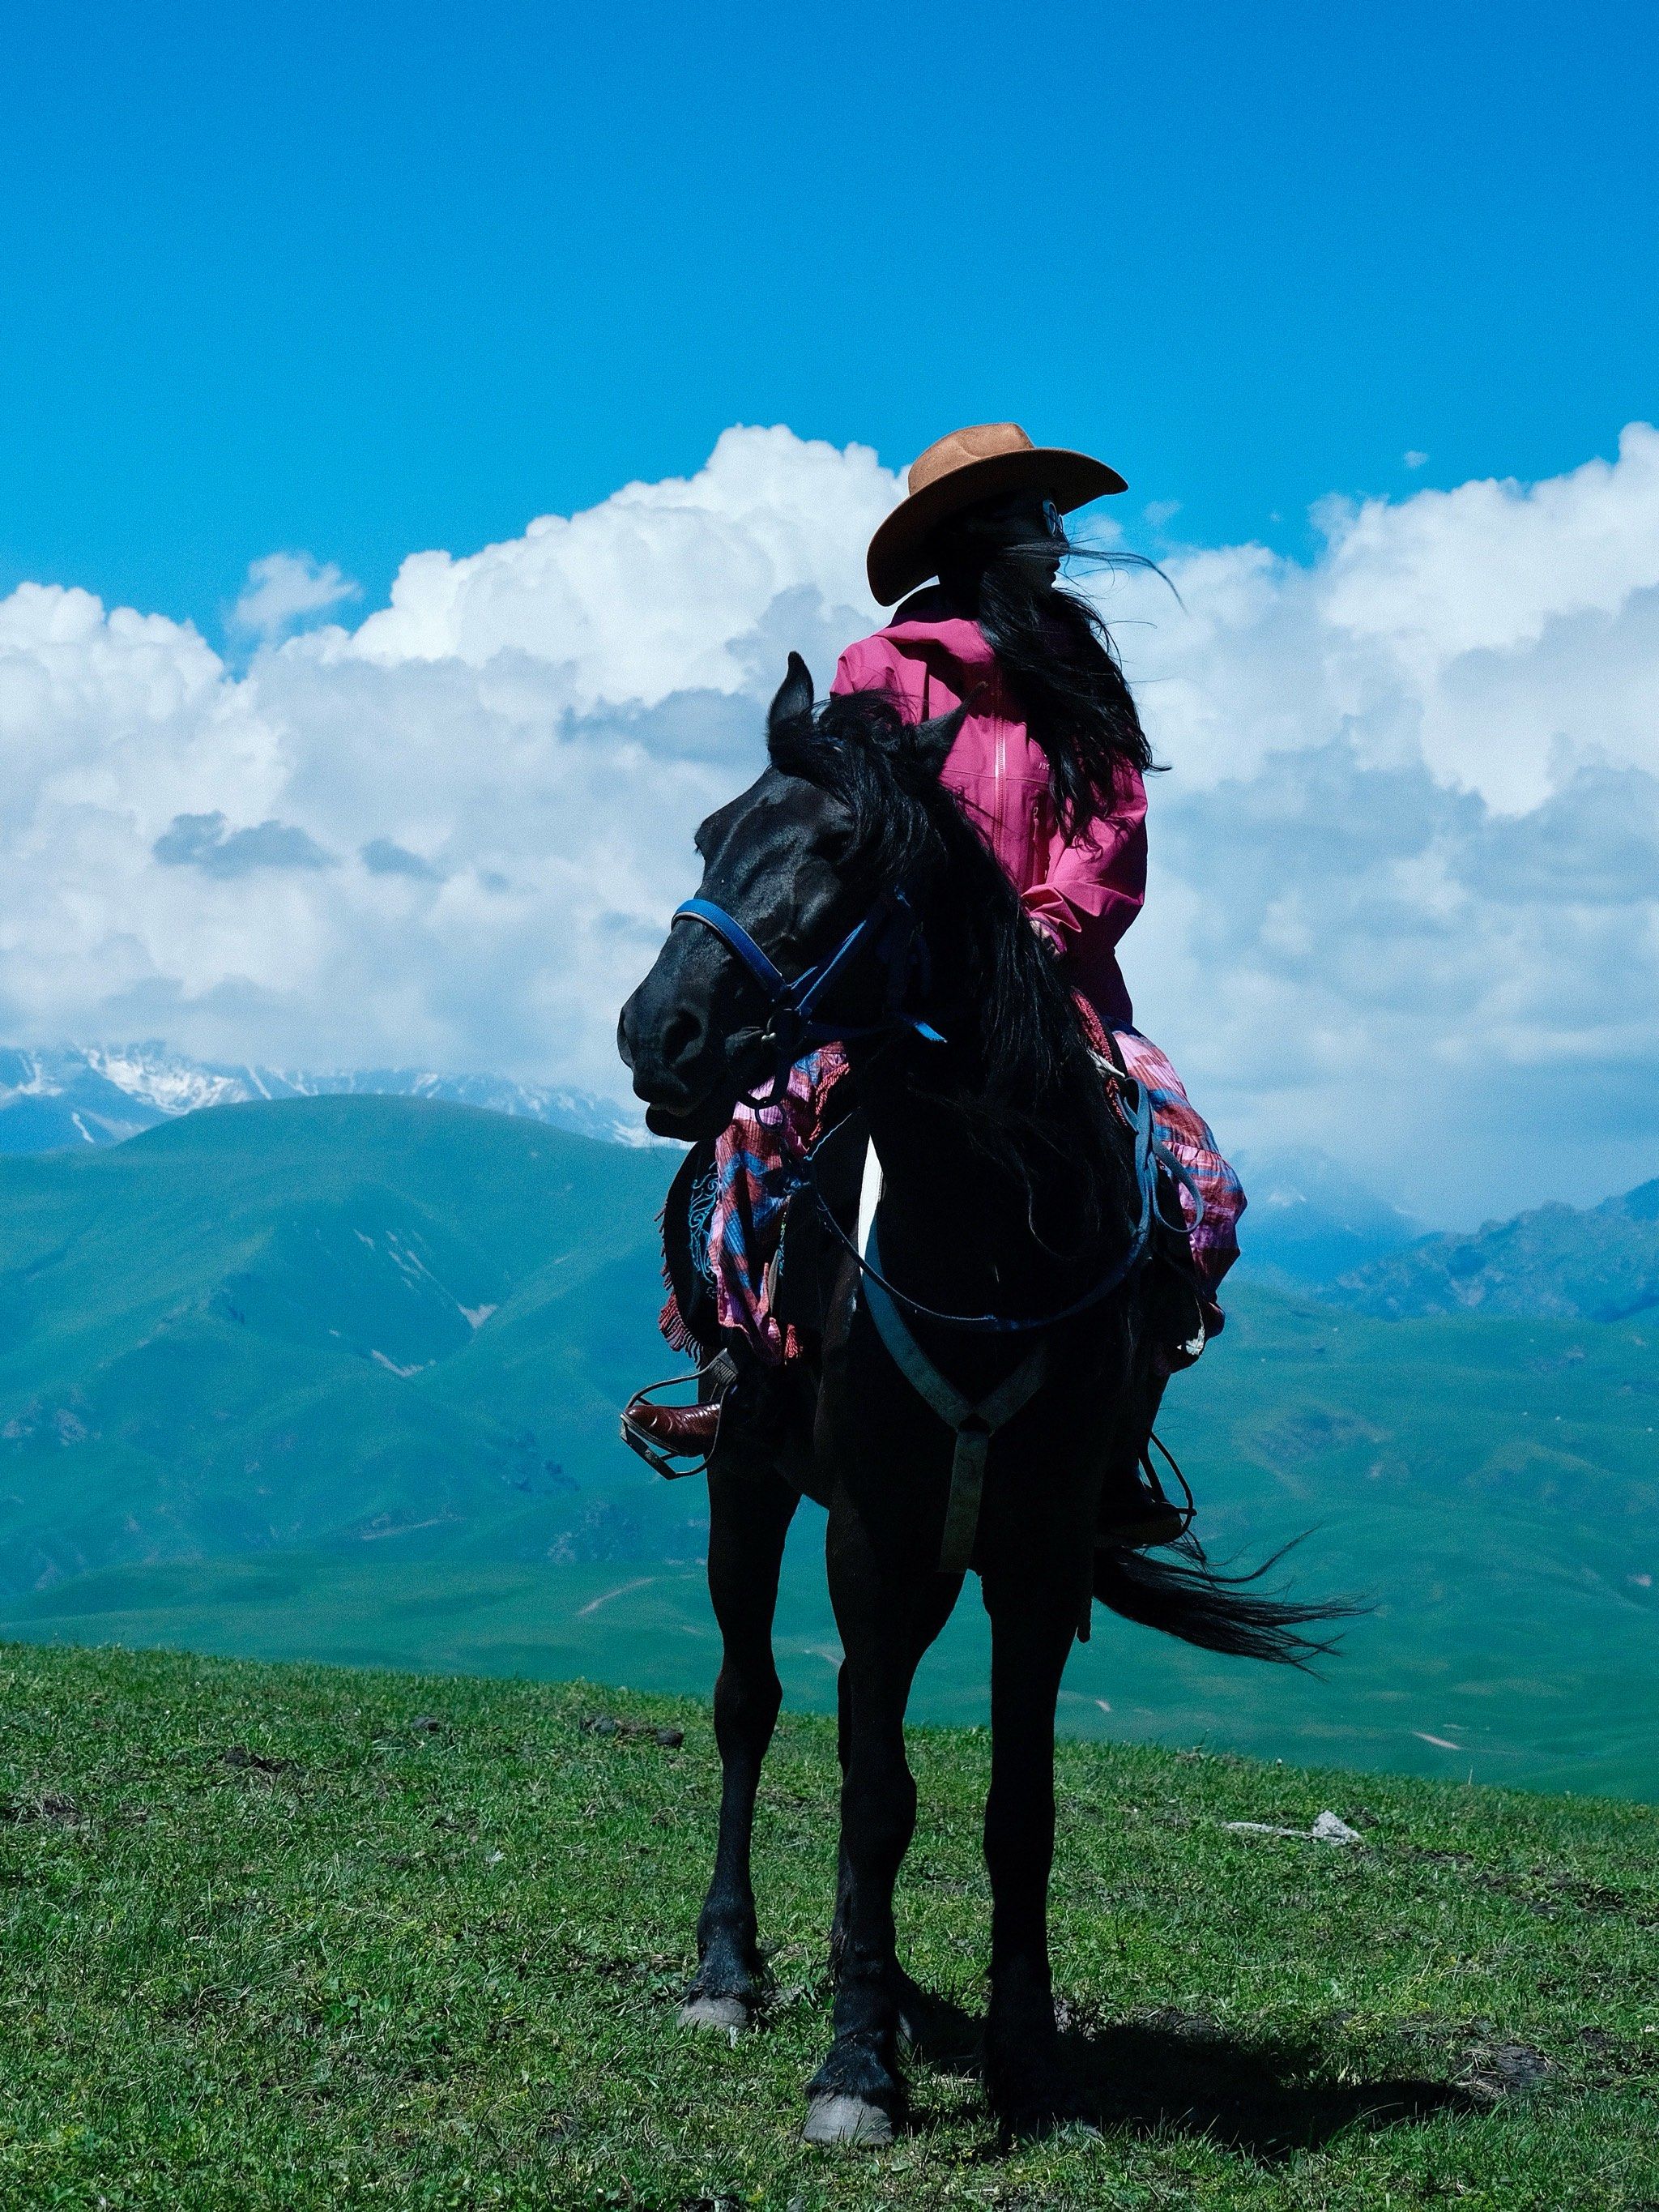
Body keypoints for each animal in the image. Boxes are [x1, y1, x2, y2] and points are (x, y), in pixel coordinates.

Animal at [618, 655, 1343, 2144]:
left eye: (841, 844)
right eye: (710, 832)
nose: (658, 1034)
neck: (991, 1228)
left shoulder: (1035, 1548)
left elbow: (1019, 1806)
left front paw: (1026, 2060)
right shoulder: (871, 1537)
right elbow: (873, 1792)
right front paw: (854, 2067)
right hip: (748, 1477)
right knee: (746, 1700)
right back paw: (729, 1973)